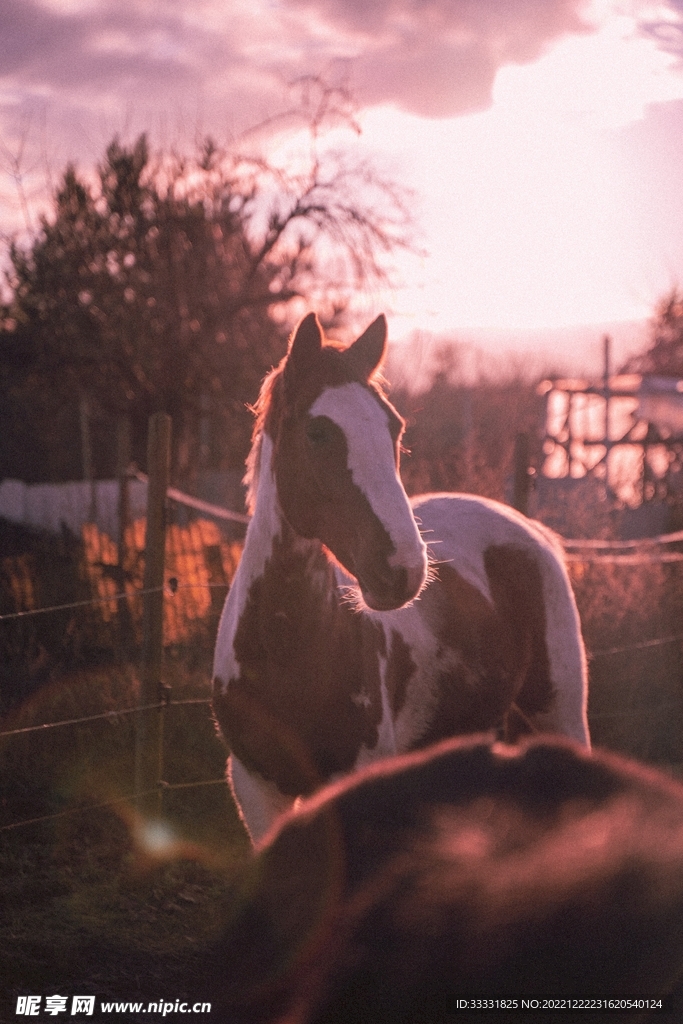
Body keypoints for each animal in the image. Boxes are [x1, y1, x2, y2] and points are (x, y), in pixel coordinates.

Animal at [212, 312, 589, 844]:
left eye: (394, 426)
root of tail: (529, 530)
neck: (283, 650)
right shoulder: (256, 788)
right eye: (317, 433)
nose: (404, 569)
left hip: (557, 713)